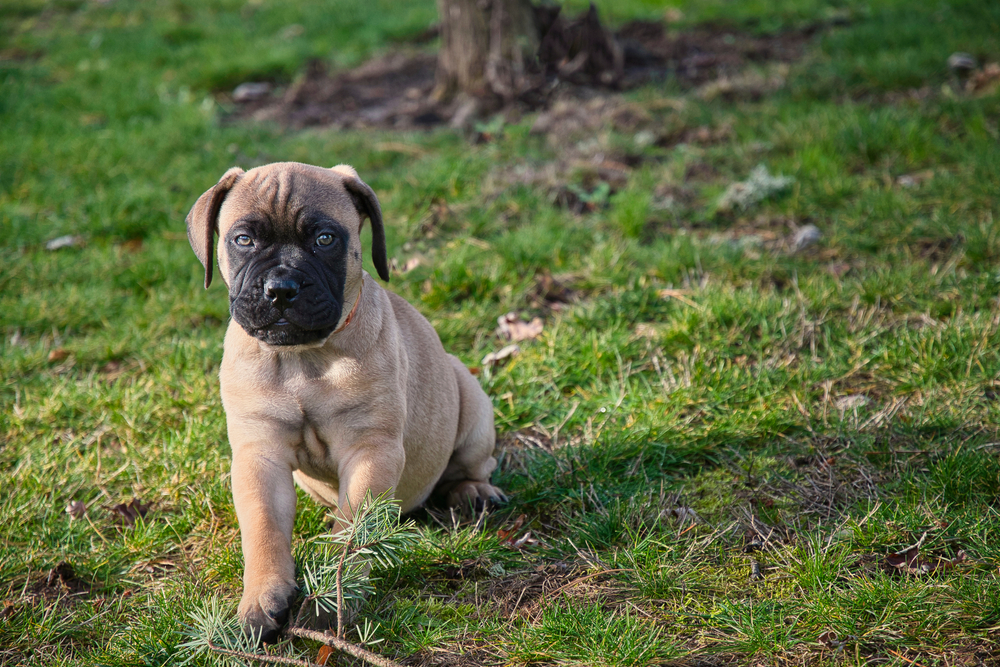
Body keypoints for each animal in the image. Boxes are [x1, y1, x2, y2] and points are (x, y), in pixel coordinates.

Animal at [186, 162, 505, 642]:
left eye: (325, 239)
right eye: (243, 240)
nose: (281, 288)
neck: (303, 359)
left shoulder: (370, 451)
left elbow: (352, 532)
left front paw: (330, 602)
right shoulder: (259, 455)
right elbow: (263, 528)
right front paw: (260, 599)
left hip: (472, 405)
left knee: (473, 465)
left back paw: (473, 493)